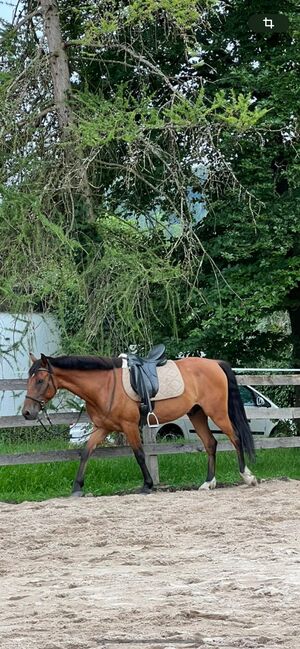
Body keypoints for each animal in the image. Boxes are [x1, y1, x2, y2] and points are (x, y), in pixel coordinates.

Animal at [22, 352, 256, 494]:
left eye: (40, 381)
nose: (27, 412)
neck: (105, 386)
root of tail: (214, 363)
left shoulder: (129, 426)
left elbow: (139, 454)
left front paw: (147, 484)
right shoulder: (103, 428)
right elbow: (86, 452)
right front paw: (77, 486)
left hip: (217, 413)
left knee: (235, 437)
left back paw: (247, 476)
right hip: (196, 414)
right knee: (210, 443)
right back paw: (208, 482)